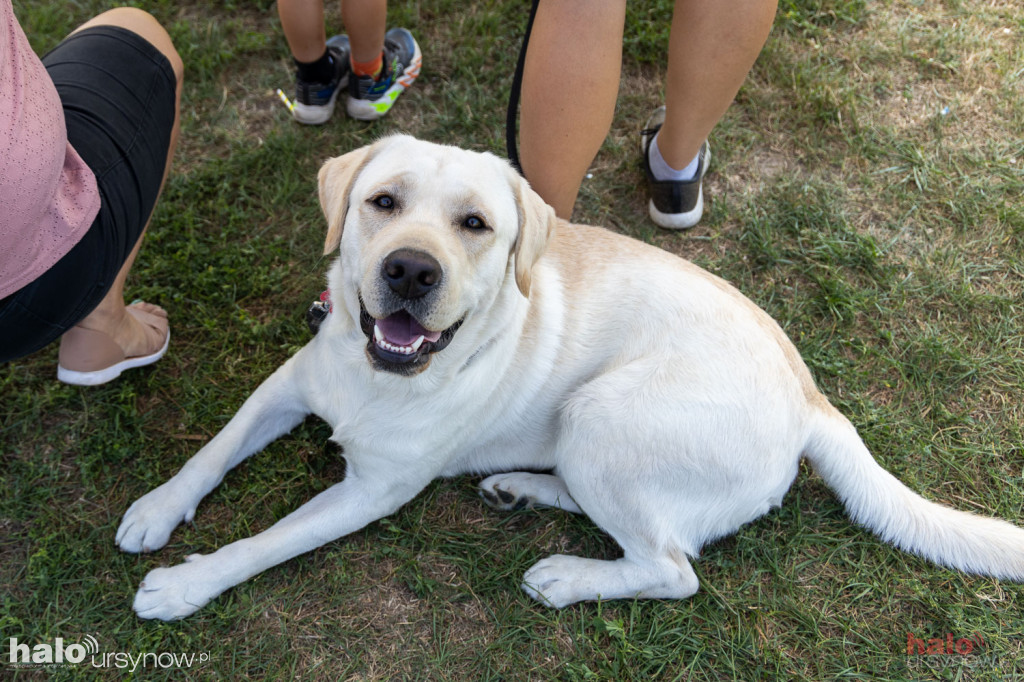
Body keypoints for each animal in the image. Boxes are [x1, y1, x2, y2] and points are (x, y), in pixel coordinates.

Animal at [114, 133, 1024, 614]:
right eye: (382, 202)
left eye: (475, 224)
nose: (410, 271)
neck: (381, 375)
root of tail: (814, 402)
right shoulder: (289, 384)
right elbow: (213, 450)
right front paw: (157, 509)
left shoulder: (371, 491)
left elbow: (266, 541)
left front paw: (186, 584)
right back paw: (522, 487)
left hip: (604, 415)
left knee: (673, 567)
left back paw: (566, 574)